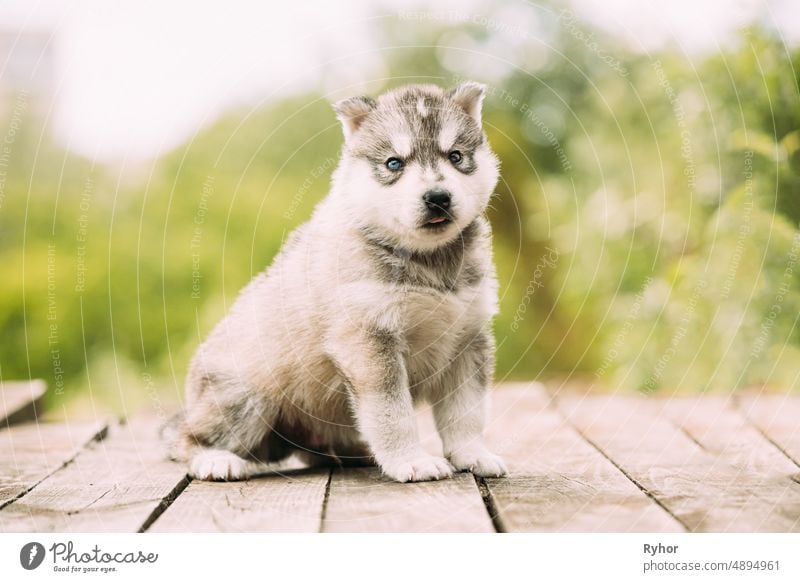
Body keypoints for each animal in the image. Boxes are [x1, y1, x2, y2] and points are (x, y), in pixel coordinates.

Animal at [169, 82, 506, 484]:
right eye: (394, 163)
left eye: (455, 156)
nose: (438, 198)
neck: (429, 261)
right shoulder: (369, 339)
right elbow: (393, 413)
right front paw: (412, 460)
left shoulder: (467, 338)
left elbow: (466, 411)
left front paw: (473, 454)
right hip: (245, 396)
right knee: (190, 439)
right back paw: (216, 460)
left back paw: (355, 452)